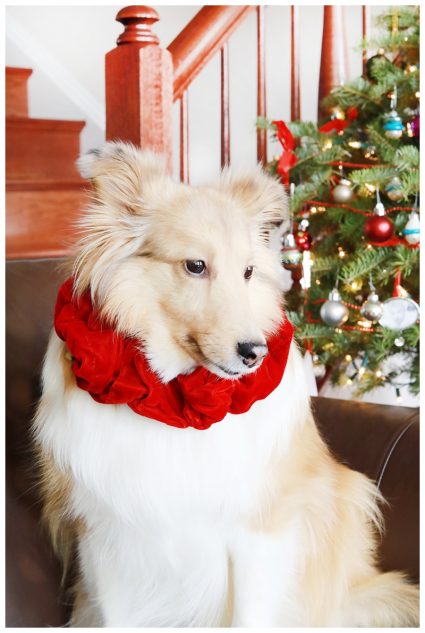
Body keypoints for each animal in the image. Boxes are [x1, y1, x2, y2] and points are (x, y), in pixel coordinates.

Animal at [33, 141, 419, 627]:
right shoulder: (105, 538)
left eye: (249, 271)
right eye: (196, 266)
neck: (176, 404)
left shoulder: (260, 532)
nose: (255, 353)